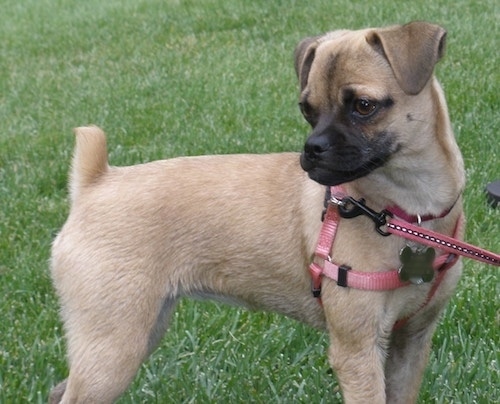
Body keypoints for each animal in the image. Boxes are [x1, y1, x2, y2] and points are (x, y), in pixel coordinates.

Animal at [49, 22, 464, 404]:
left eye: (364, 106)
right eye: (307, 109)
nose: (312, 149)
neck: (407, 213)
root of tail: (95, 183)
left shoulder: (411, 342)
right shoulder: (358, 352)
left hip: (134, 333)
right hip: (113, 350)